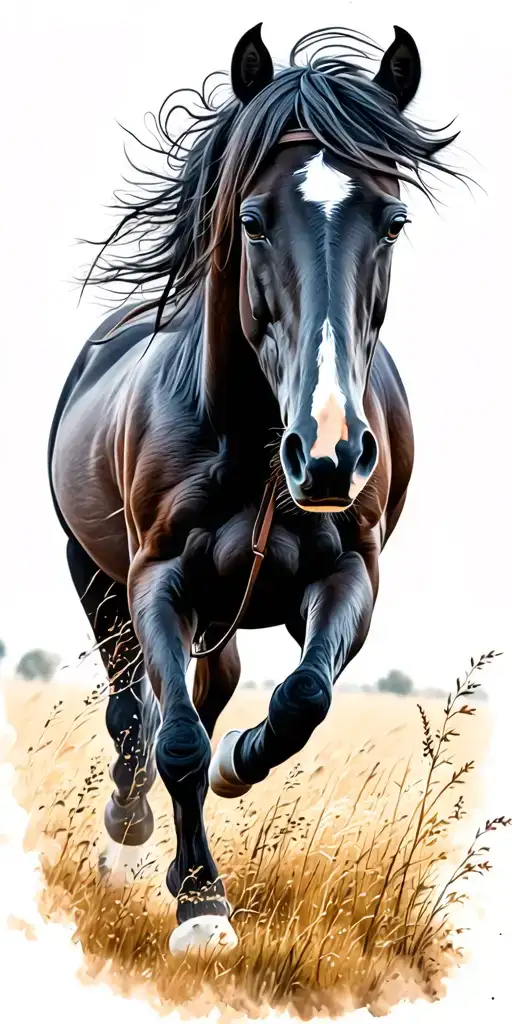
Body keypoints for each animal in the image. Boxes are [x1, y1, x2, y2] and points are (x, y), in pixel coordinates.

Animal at [48, 24, 460, 954]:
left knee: (210, 692)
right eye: (251, 220)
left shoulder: (349, 573)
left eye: (393, 220)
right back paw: (131, 832)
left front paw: (240, 764)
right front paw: (202, 904)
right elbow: (172, 742)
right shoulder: (155, 577)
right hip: (94, 574)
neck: (259, 448)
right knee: (135, 716)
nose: (331, 454)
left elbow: (302, 697)